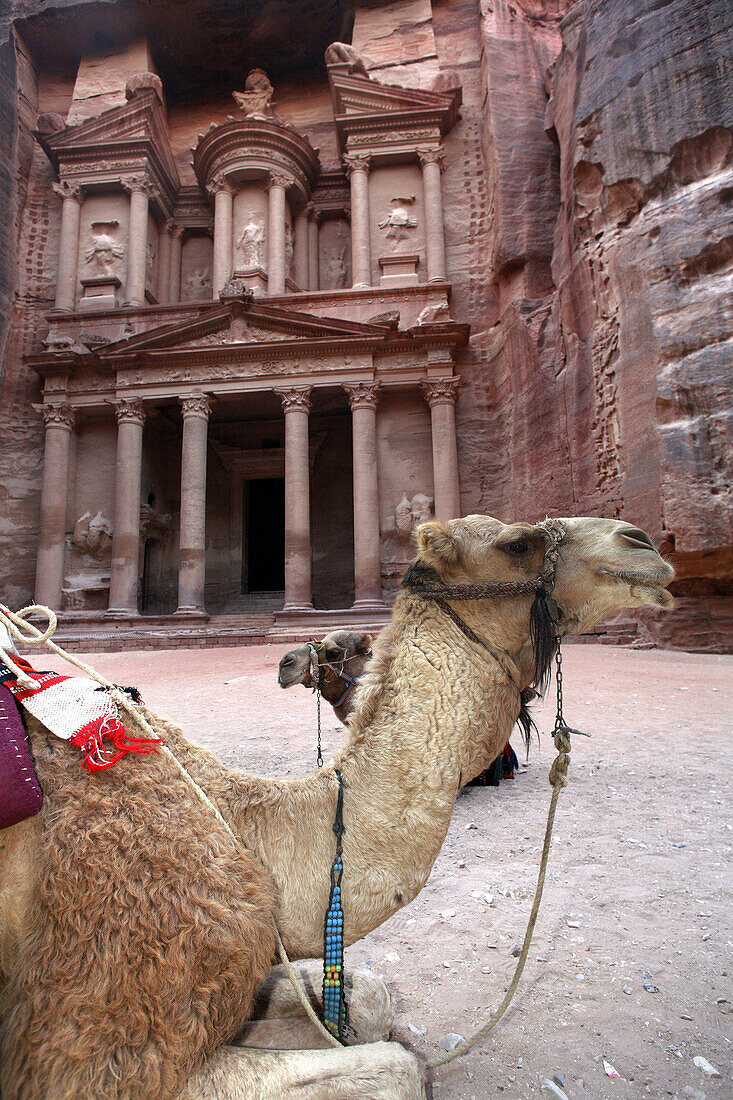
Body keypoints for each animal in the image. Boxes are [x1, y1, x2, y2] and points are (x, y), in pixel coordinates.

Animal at [0, 517, 669, 1100]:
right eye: (519, 543)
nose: (642, 542)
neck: (240, 825)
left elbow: (365, 997)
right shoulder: (100, 1020)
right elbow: (400, 1069)